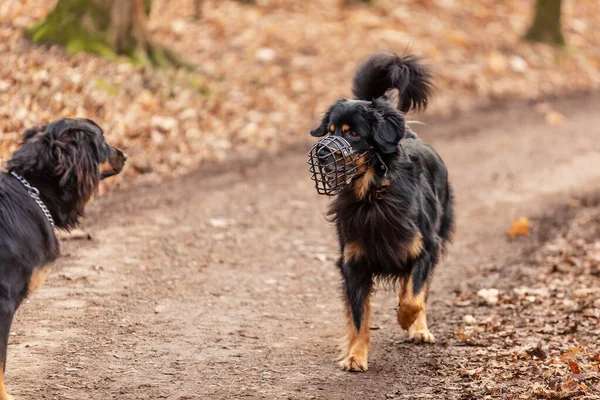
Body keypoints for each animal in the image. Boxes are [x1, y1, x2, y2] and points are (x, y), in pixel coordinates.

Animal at [310, 53, 454, 372]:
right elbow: (359, 317)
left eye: (353, 134)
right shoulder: (353, 262)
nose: (322, 153)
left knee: (419, 290)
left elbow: (414, 298)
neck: (372, 197)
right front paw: (355, 355)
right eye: (330, 131)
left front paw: (406, 319)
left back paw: (419, 328)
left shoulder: (425, 248)